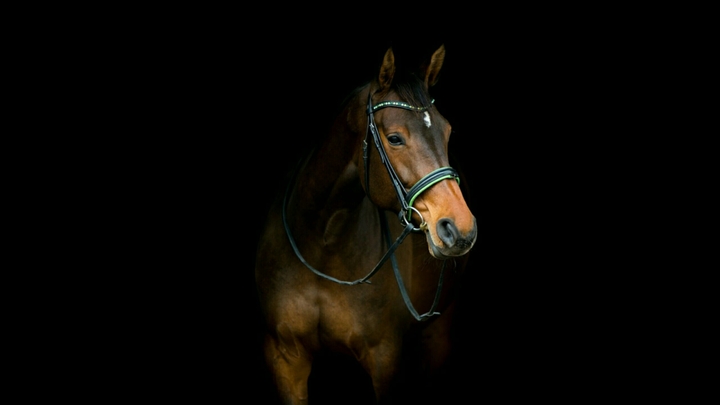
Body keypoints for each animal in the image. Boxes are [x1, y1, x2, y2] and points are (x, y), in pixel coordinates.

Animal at [254, 44, 477, 404]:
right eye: (395, 138)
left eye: (447, 132)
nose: (461, 228)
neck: (323, 240)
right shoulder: (285, 357)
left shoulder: (385, 361)